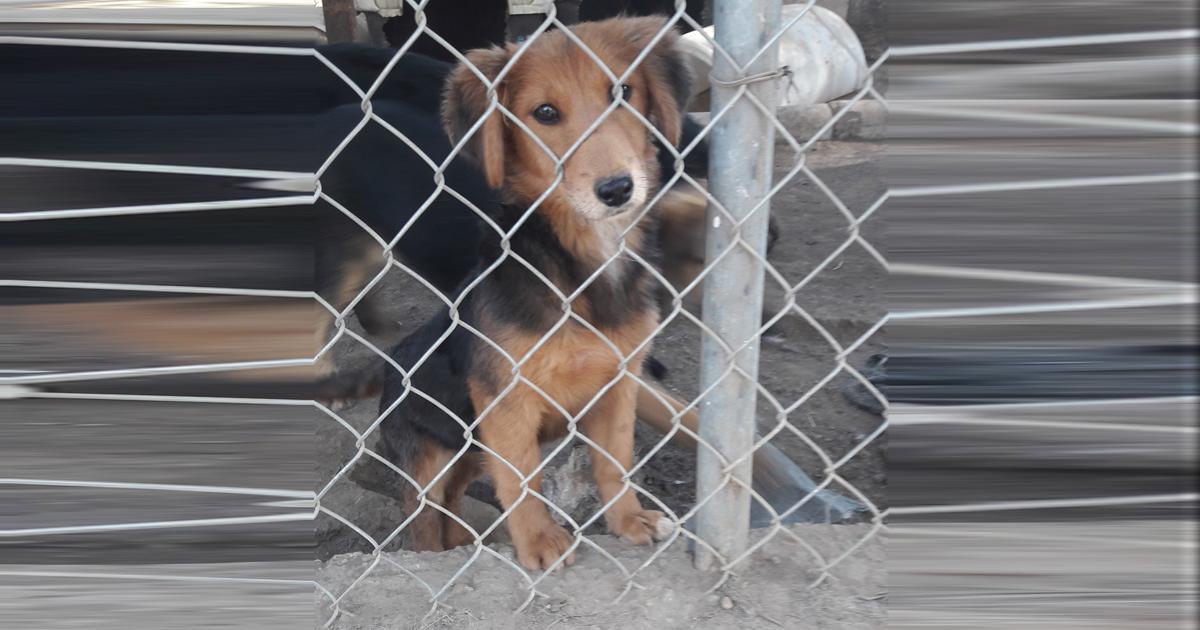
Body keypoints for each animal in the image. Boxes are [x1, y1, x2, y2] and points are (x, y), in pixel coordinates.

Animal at [374, 18, 696, 568]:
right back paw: (434, 556)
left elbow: (615, 460)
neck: (582, 268)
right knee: (424, 519)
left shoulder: (618, 381)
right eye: (545, 113)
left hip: (468, 452)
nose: (617, 189)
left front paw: (629, 519)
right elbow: (523, 479)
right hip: (430, 458)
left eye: (623, 93)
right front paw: (540, 542)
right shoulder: (507, 399)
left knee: (452, 507)